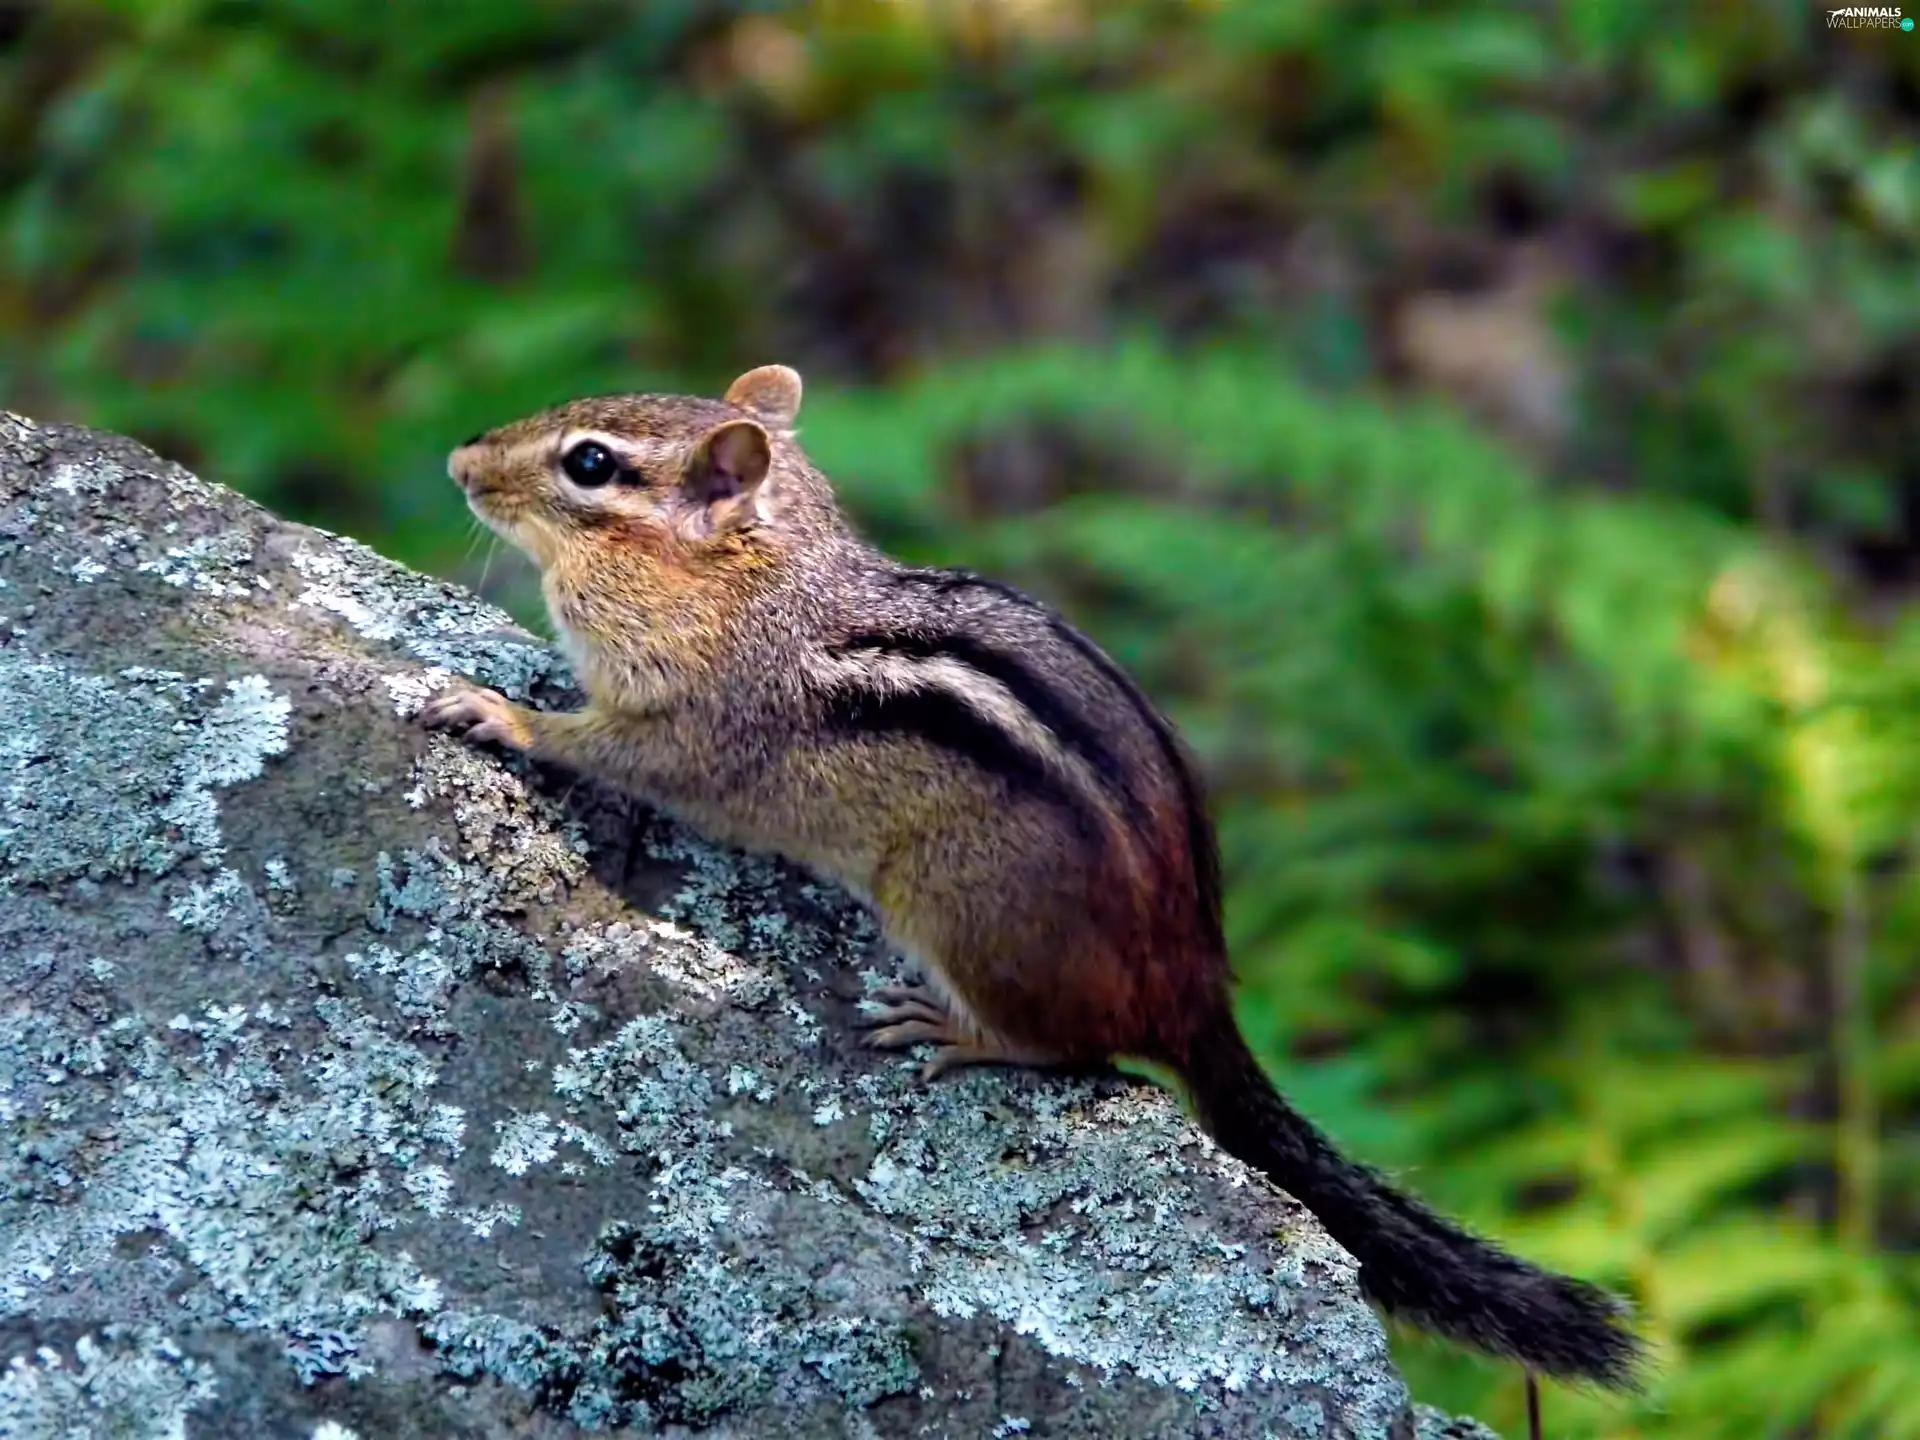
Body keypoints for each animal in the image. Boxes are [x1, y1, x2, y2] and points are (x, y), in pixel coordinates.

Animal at [421, 364, 1645, 1391]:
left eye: (588, 463)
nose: (460, 459)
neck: (751, 581)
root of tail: (1197, 984)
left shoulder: (692, 726)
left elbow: (603, 749)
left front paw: (495, 711)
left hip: (955, 906)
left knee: (1075, 1049)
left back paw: (955, 1028)